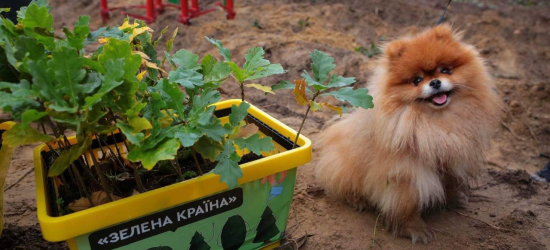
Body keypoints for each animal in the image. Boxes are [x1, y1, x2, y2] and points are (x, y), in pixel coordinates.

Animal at [316, 24, 502, 243]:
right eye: (417, 80)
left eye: (446, 70)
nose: (435, 82)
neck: (437, 123)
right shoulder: (406, 174)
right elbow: (407, 205)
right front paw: (415, 229)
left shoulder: (451, 160)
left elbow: (451, 182)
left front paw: (454, 198)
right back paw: (357, 200)